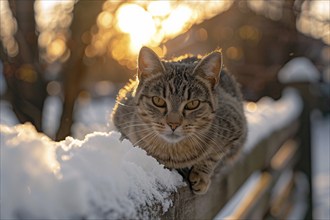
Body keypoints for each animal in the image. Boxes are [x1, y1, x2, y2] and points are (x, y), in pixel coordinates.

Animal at [112, 46, 246, 194]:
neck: (173, 153)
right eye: (158, 101)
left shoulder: (237, 124)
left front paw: (201, 175)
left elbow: (214, 156)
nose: (173, 124)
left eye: (193, 104)